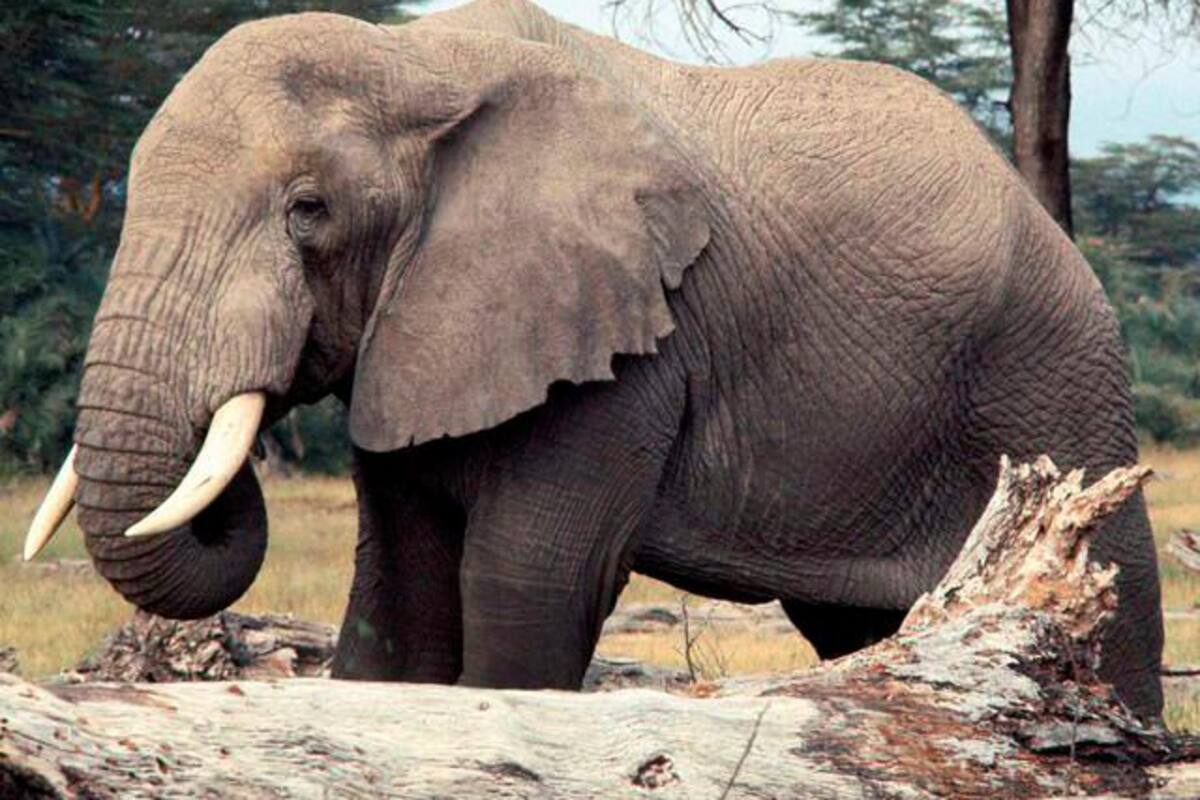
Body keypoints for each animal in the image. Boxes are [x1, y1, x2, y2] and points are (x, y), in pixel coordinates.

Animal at [26, 0, 1163, 719]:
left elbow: (527, 577)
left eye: (309, 211)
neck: (416, 60)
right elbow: (399, 591)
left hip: (1053, 380)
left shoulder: (629, 347)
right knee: (857, 633)